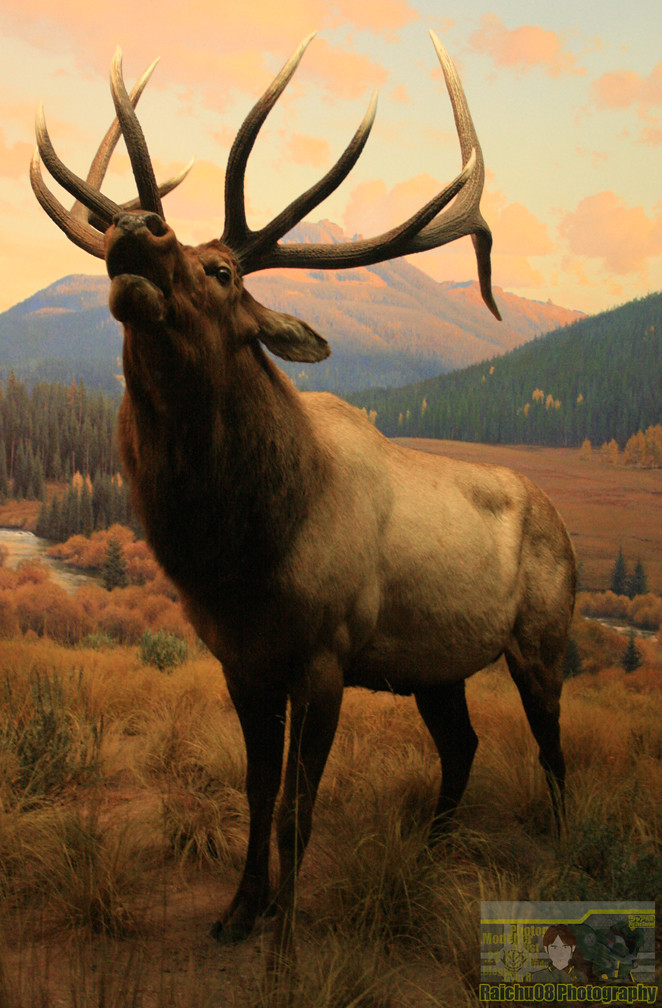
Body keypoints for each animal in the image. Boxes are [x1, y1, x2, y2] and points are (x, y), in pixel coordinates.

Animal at [31, 32, 576, 961]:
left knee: (551, 751)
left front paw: (284, 942)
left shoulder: (325, 654)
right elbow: (256, 792)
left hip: (542, 637)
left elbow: (297, 807)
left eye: (220, 269)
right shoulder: (242, 659)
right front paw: (238, 912)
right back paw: (431, 850)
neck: (242, 554)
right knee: (463, 744)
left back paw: (573, 858)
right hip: (433, 664)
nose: (137, 225)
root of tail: (558, 518)